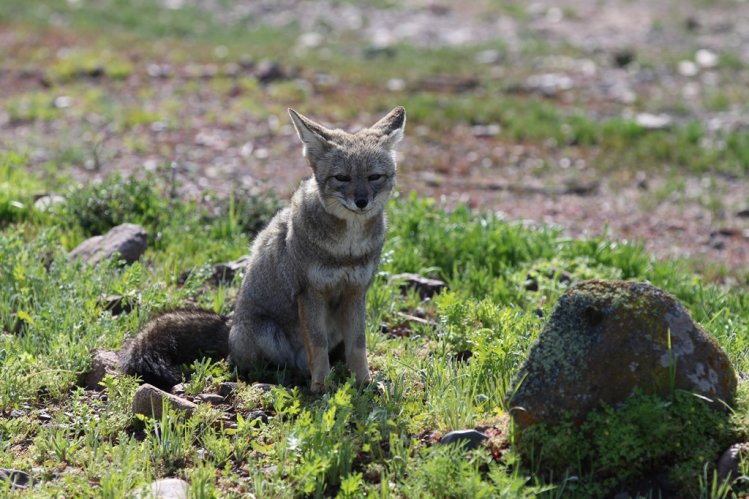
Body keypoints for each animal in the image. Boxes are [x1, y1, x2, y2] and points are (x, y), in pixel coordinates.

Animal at [120, 106, 406, 394]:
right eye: (342, 178)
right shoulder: (309, 293)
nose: (361, 201)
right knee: (264, 365)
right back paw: (292, 377)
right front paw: (321, 386)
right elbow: (318, 345)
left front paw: (364, 383)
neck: (346, 250)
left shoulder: (356, 292)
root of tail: (230, 326)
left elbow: (358, 345)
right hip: (266, 331)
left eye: (374, 177)